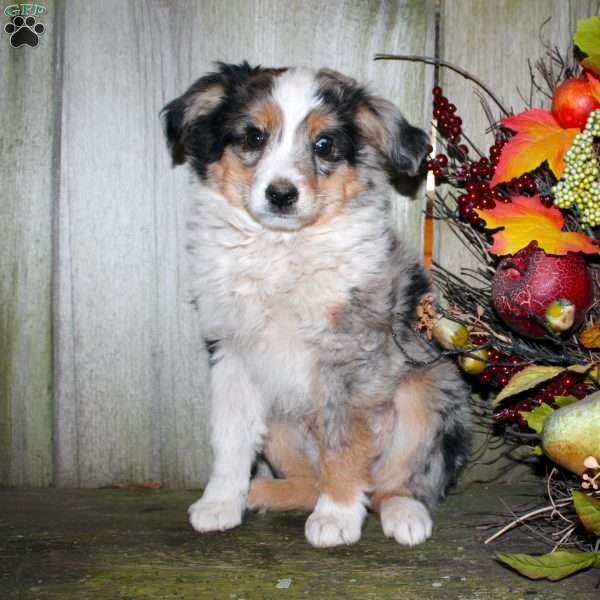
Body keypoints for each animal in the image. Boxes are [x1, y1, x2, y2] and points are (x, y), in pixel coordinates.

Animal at [162, 62, 472, 548]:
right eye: (253, 136)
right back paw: (262, 492)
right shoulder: (233, 354)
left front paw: (338, 515)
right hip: (281, 419)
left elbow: (343, 441)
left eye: (324, 144)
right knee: (313, 479)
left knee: (396, 482)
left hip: (427, 395)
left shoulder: (349, 354)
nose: (281, 195)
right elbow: (230, 437)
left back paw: (403, 512)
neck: (281, 248)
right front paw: (220, 502)